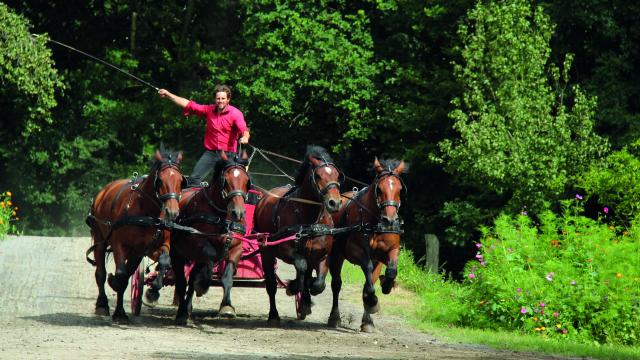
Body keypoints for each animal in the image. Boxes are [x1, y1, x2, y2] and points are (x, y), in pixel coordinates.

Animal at [86, 148, 184, 322]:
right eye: (160, 181)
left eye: (180, 181)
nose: (172, 212)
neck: (146, 212)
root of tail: (104, 191)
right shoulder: (119, 245)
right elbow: (120, 275)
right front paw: (118, 307)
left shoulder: (155, 247)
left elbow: (164, 262)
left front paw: (153, 292)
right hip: (100, 240)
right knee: (101, 274)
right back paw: (102, 305)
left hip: (135, 254)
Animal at [170, 150, 250, 324]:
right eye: (226, 181)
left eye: (247, 181)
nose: (238, 213)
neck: (221, 216)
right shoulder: (196, 242)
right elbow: (210, 255)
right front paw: (203, 284)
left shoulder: (236, 248)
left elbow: (227, 277)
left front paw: (227, 306)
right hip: (177, 253)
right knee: (182, 281)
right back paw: (181, 312)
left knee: (191, 278)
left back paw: (187, 307)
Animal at [254, 145, 344, 324]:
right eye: (318, 175)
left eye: (337, 175)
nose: (334, 203)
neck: (309, 221)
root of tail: (264, 198)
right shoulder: (286, 251)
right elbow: (301, 267)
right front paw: (293, 287)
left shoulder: (322, 255)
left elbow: (318, 283)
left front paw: (306, 298)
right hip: (266, 251)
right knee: (271, 285)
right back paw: (274, 314)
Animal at [328, 158, 408, 332]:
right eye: (379, 189)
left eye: (400, 189)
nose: (389, 220)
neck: (375, 223)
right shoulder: (356, 251)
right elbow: (367, 267)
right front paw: (372, 302)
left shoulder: (390, 251)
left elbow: (390, 271)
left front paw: (385, 286)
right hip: (336, 255)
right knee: (336, 284)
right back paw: (334, 317)